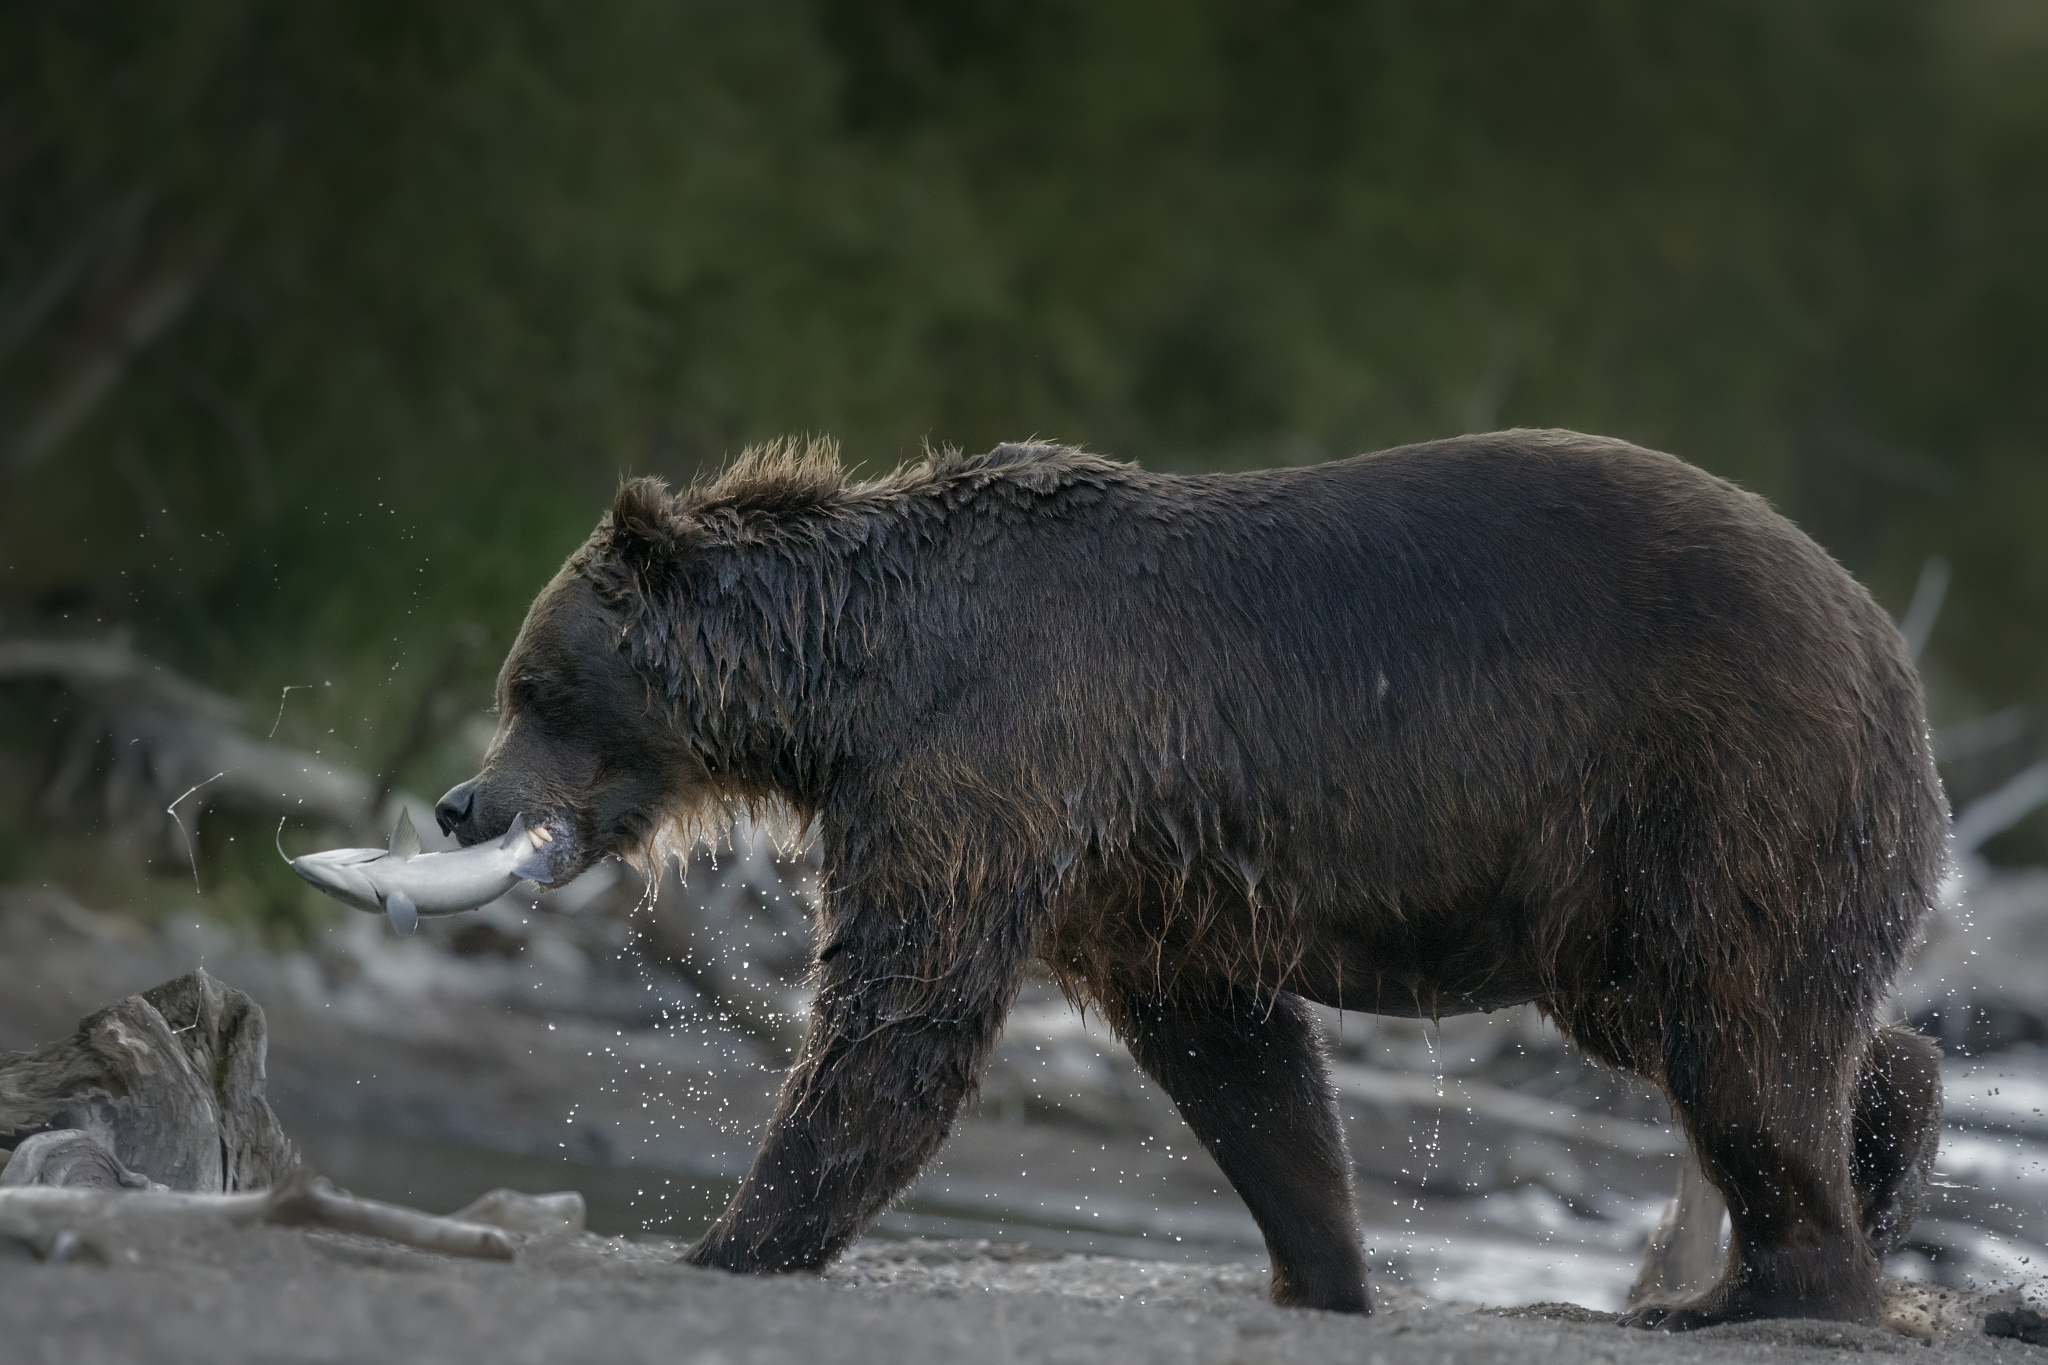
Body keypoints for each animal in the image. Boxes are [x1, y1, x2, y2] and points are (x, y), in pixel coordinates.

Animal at [435, 429, 1947, 1328]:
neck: (858, 677)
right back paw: (1882, 1132)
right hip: (1612, 889)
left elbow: (897, 1018)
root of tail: (1891, 650)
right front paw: (1320, 1266)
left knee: (1731, 1027)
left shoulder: (989, 759)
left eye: (532, 685)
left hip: (1711, 784)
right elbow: (1237, 1059)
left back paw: (1755, 1288)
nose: (462, 804)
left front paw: (732, 1239)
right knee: (1728, 1024)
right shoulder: (1141, 874)